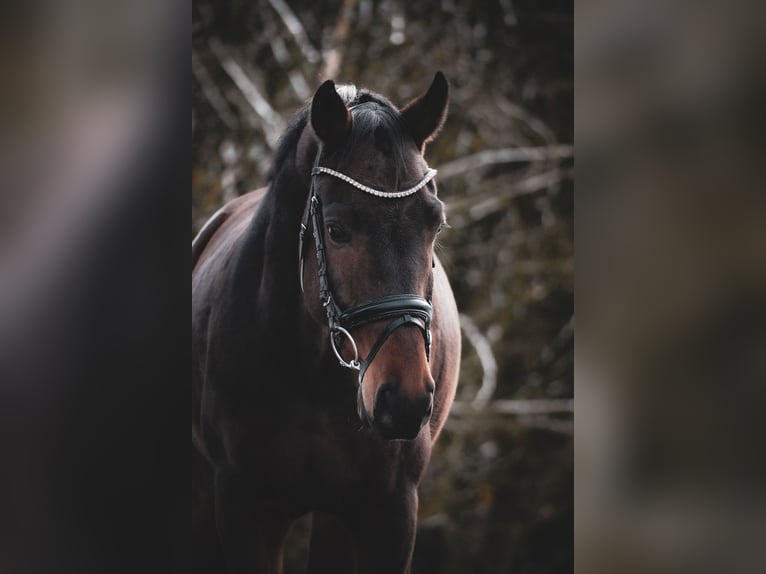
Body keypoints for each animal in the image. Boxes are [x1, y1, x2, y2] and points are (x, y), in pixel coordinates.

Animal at [195, 73, 464, 574]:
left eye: (435, 226)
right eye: (337, 230)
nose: (405, 398)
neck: (311, 373)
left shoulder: (389, 512)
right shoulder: (243, 507)